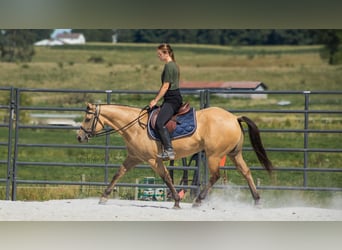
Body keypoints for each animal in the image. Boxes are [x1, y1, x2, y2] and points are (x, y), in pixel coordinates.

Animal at [77, 102, 272, 208]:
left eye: (87, 119)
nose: (79, 137)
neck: (135, 126)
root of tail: (233, 117)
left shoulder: (153, 160)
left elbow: (166, 177)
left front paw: (177, 202)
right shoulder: (133, 158)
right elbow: (118, 174)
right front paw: (104, 196)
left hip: (214, 155)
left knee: (215, 176)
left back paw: (198, 200)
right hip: (234, 154)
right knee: (246, 172)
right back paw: (257, 200)